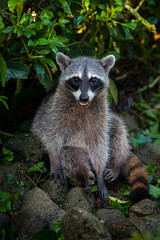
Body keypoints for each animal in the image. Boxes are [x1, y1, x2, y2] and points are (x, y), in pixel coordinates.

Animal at [31, 53, 149, 206]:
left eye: (94, 80)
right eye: (76, 79)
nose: (84, 97)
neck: (82, 105)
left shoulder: (101, 116)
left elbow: (99, 145)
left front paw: (100, 174)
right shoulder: (54, 113)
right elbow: (53, 136)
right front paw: (54, 159)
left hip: (109, 121)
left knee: (117, 129)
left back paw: (116, 165)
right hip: (74, 146)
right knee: (69, 154)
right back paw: (84, 171)